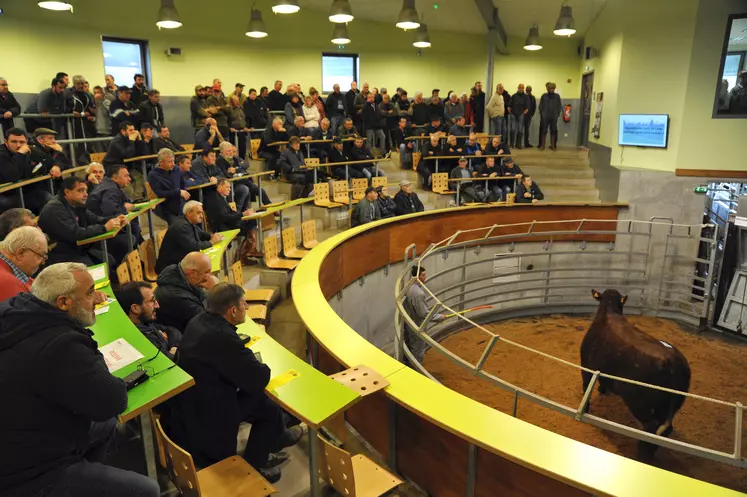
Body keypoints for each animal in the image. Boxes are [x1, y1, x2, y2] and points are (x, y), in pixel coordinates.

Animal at [580, 290, 692, 458]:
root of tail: (672, 362)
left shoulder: (586, 366)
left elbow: (586, 386)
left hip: (639, 403)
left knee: (651, 427)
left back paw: (642, 455)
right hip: (667, 406)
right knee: (664, 430)